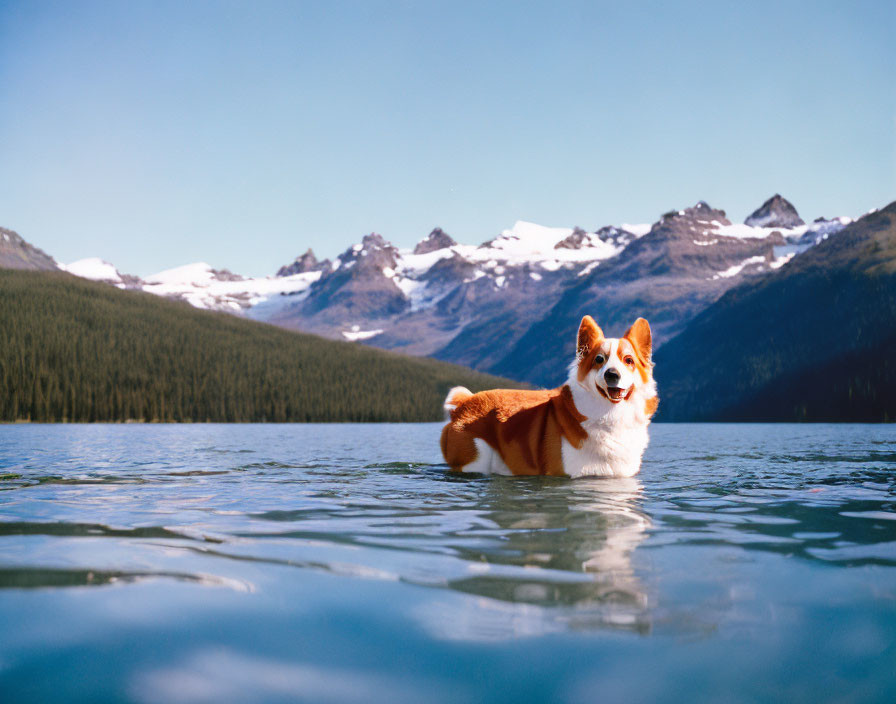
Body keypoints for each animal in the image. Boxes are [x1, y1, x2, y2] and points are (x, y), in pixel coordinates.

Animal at [440, 318, 656, 478]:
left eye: (629, 360)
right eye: (599, 359)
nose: (612, 374)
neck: (610, 414)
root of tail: (465, 402)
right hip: (476, 457)